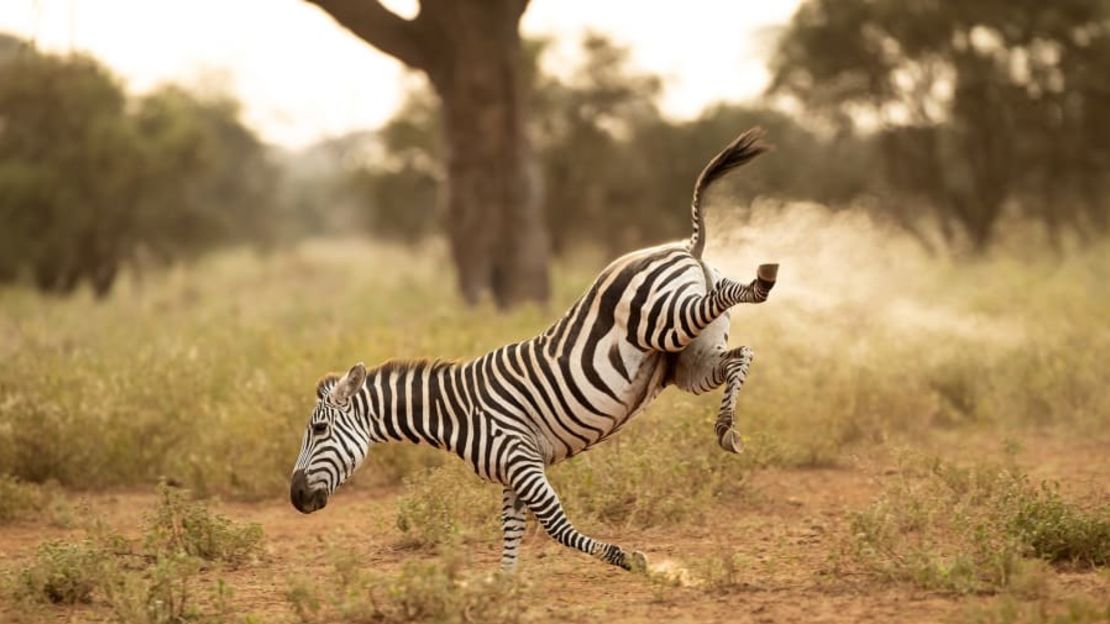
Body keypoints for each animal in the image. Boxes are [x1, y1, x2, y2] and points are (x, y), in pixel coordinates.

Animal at [290, 128, 777, 572]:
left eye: (318, 429)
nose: (295, 497)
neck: (454, 413)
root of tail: (681, 246)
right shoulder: (512, 475)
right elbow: (510, 537)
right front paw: (502, 590)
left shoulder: (521, 460)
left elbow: (558, 529)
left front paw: (629, 558)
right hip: (687, 361)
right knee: (741, 354)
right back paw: (727, 429)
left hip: (663, 321)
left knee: (728, 301)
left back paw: (764, 279)